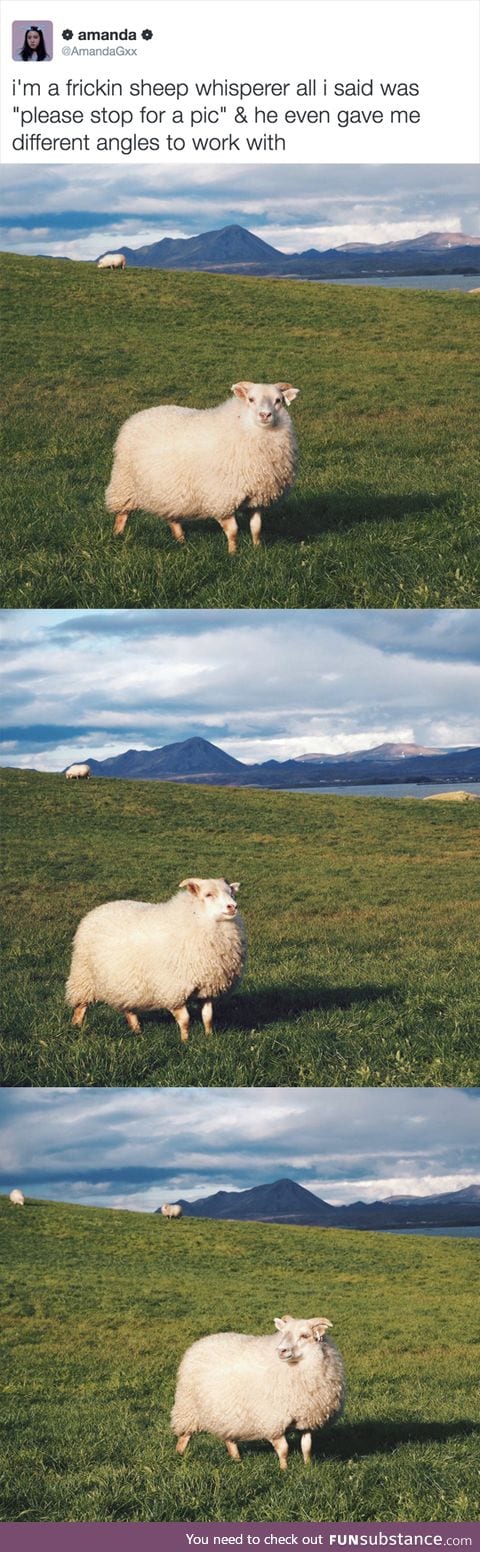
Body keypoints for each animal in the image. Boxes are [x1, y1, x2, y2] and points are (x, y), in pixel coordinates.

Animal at [65, 875, 245, 1042]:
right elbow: (185, 1019)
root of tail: (96, 910)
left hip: (125, 981)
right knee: (81, 1005)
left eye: (232, 894)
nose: (233, 906)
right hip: (84, 975)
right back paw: (76, 1026)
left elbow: (208, 1017)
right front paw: (185, 1041)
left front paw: (209, 1037)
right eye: (208, 894)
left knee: (128, 1007)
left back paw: (137, 1030)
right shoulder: (173, 988)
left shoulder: (208, 988)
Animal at [105, 377, 298, 552]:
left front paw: (257, 550)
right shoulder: (221, 497)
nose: (265, 415)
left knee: (172, 515)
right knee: (122, 513)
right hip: (125, 482)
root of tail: (136, 416)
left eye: (278, 400)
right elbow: (233, 530)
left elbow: (256, 528)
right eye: (251, 399)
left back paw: (181, 540)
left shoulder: (257, 499)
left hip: (169, 489)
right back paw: (117, 535)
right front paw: (233, 553)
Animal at [171, 1309, 343, 1465]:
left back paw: (237, 1459)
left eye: (305, 1336)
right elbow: (284, 1449)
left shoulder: (307, 1419)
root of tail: (199, 1343)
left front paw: (308, 1466)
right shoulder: (273, 1420)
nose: (281, 1350)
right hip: (188, 1407)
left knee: (229, 1436)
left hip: (226, 1411)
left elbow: (307, 1447)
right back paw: (179, 1455)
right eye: (283, 1334)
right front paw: (284, 1470)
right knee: (184, 1435)